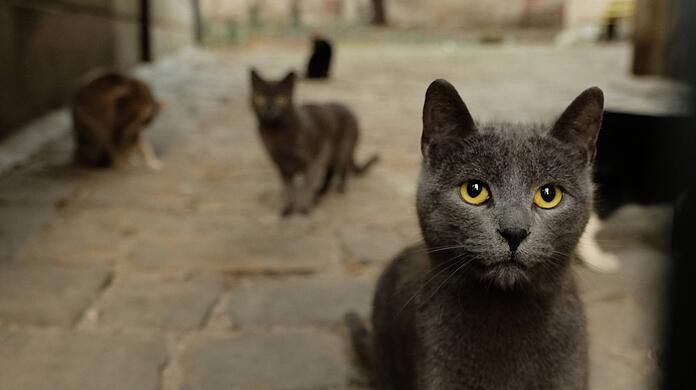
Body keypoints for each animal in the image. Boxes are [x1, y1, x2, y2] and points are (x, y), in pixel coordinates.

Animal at [251, 70, 380, 216]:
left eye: (280, 99)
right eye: (260, 98)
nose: (269, 108)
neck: (276, 134)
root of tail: (350, 110)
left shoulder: (312, 161)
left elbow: (306, 186)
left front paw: (304, 208)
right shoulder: (281, 166)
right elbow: (289, 189)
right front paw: (288, 209)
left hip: (340, 151)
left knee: (342, 168)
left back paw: (339, 188)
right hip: (330, 154)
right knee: (330, 172)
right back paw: (322, 191)